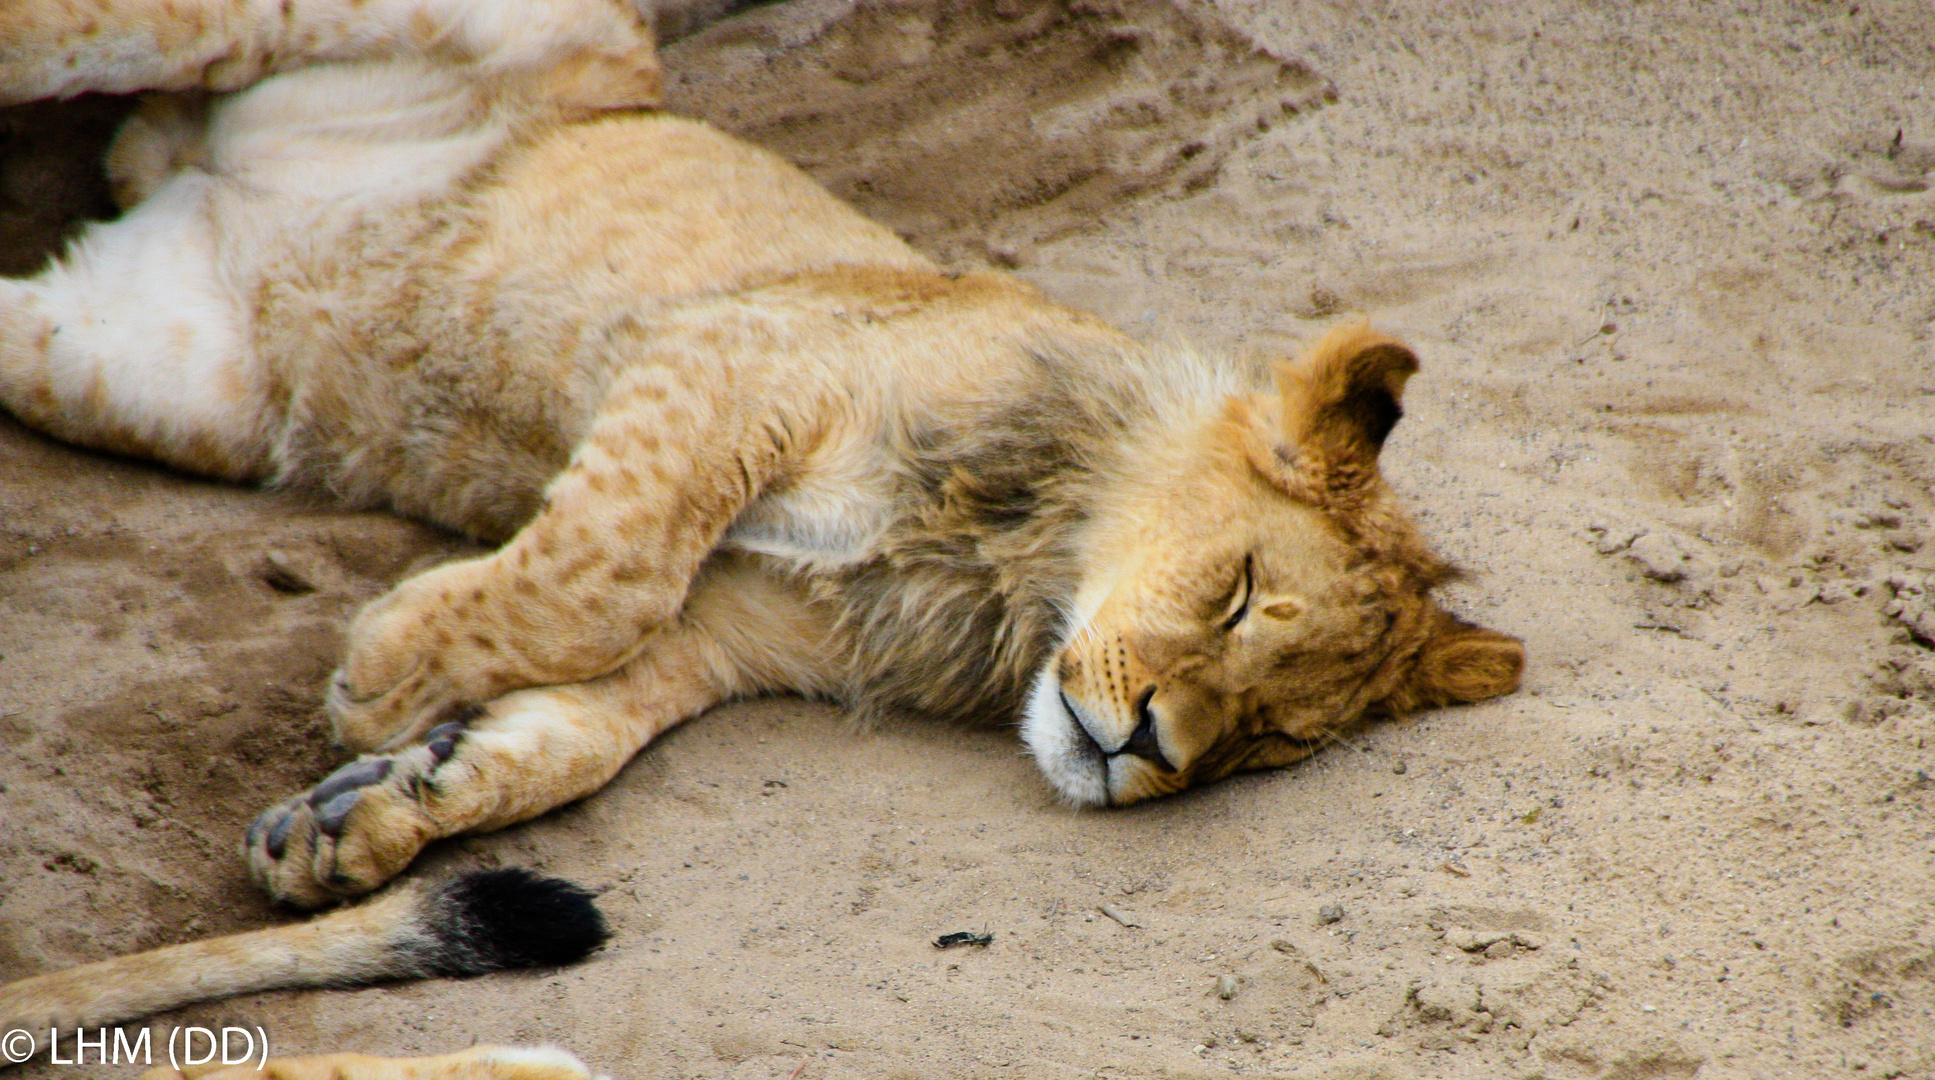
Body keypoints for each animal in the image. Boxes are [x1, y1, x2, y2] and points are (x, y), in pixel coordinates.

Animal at [0, 0, 1517, 1068]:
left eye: (1271, 734)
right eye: (1237, 594)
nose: (1147, 748)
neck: (1005, 578)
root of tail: (191, 167)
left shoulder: (731, 631)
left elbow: (571, 734)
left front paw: (370, 812)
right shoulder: (740, 357)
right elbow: (599, 570)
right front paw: (383, 672)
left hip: (160, 378)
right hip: (527, 30)